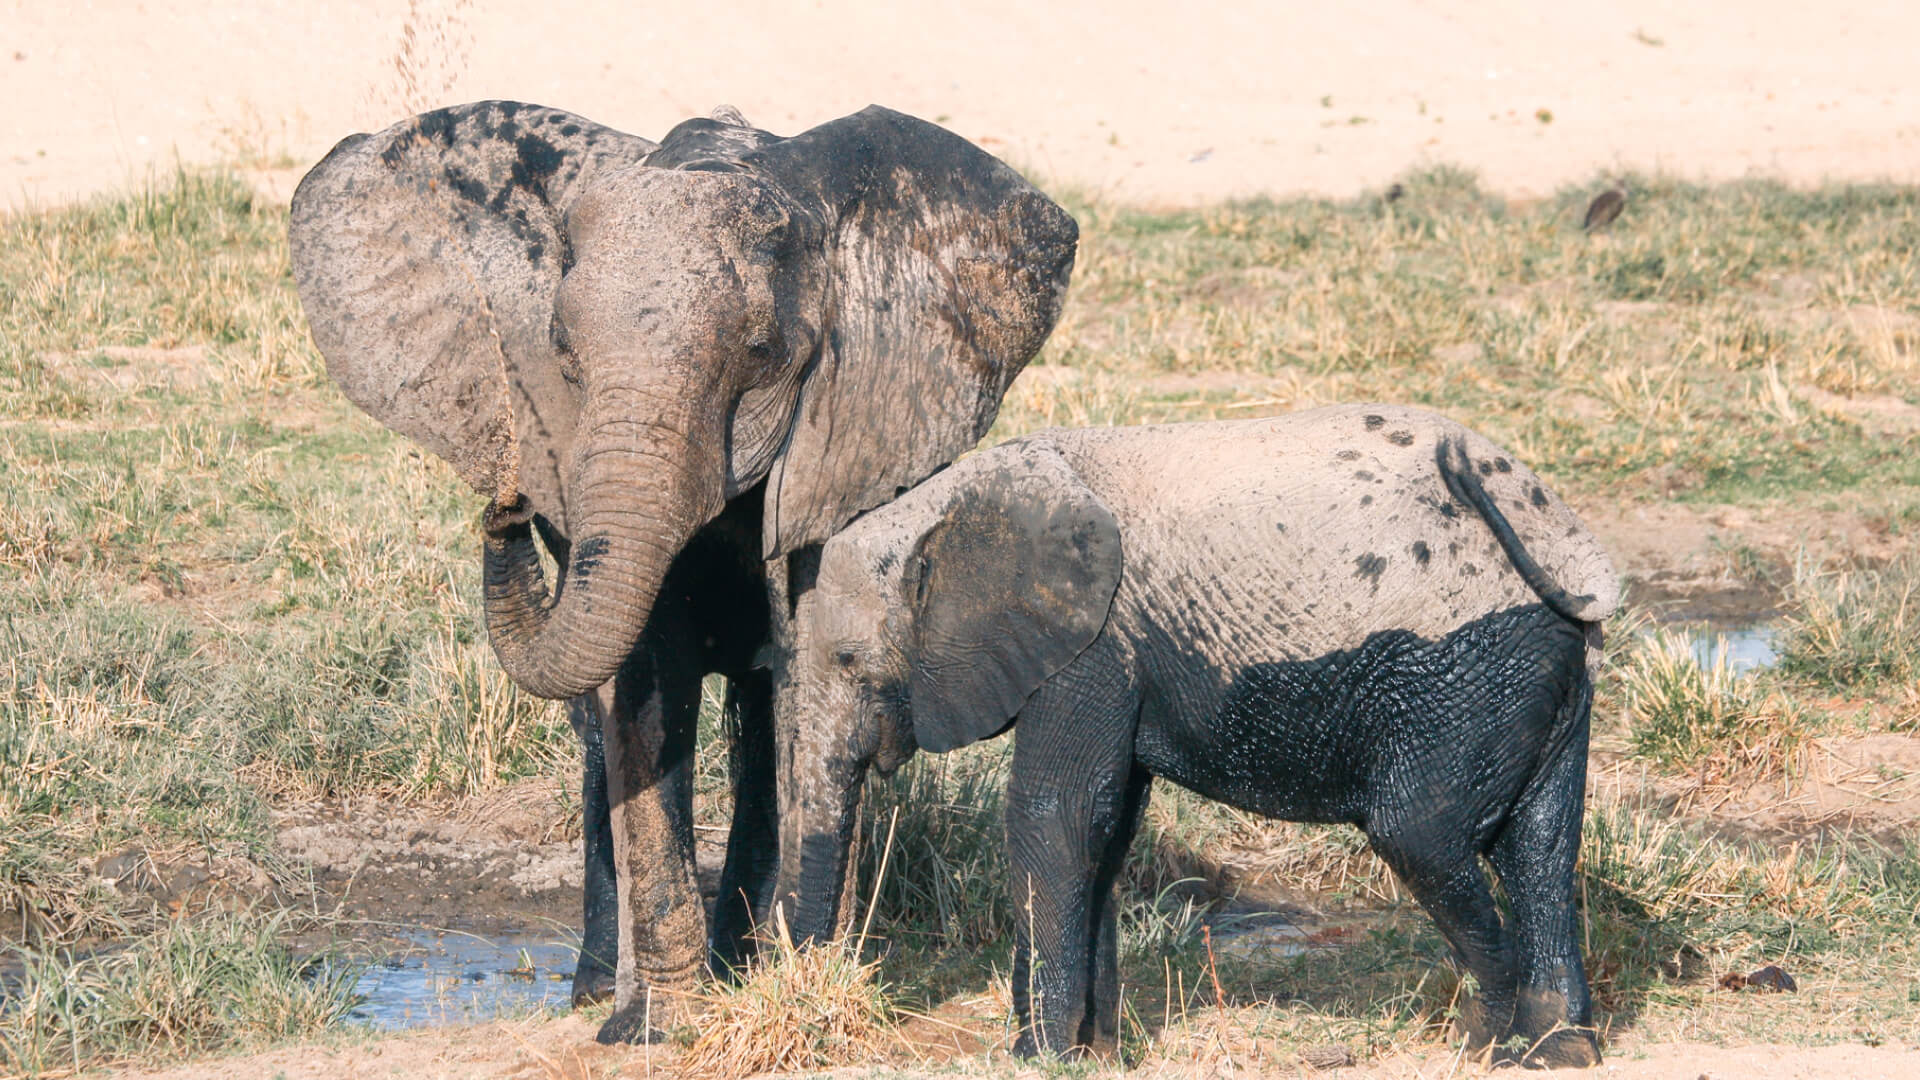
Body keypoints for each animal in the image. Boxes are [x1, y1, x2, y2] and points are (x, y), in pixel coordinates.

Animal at [288, 100, 1077, 1042]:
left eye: (764, 351)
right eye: (560, 349)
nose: (507, 495)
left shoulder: (840, 440)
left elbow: (806, 674)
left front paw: (785, 985)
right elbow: (645, 688)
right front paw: (652, 1028)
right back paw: (604, 989)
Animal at [772, 404, 1619, 1067]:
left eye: (849, 661)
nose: (812, 995)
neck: (954, 500)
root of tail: (1549, 530)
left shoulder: (1094, 647)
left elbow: (1055, 819)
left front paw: (1037, 1058)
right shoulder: (1116, 656)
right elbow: (1107, 832)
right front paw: (1095, 1057)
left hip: (1463, 672)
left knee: (1421, 834)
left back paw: (1484, 1041)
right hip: (1539, 669)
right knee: (1542, 846)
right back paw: (1557, 1053)